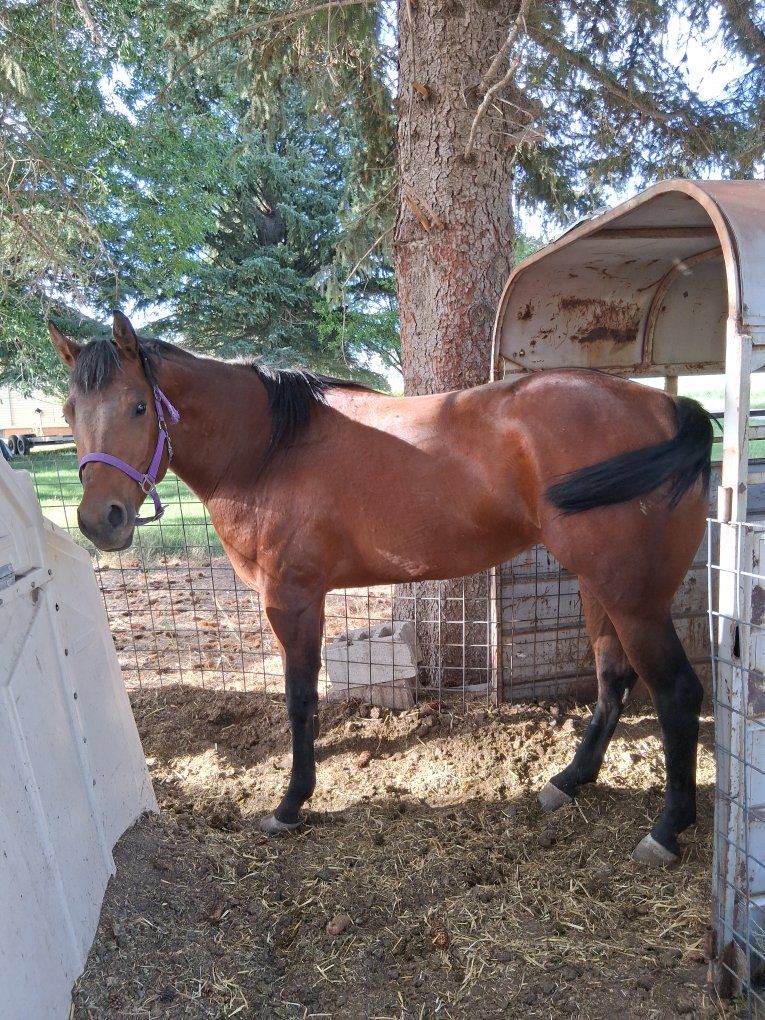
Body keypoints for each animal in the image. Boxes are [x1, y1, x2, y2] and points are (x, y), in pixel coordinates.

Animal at [49, 311, 713, 868]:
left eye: (139, 406)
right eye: (69, 409)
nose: (100, 519)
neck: (268, 450)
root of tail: (666, 407)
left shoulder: (292, 598)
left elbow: (300, 700)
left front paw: (291, 804)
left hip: (634, 600)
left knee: (677, 693)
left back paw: (665, 830)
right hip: (600, 587)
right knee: (612, 679)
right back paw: (570, 781)